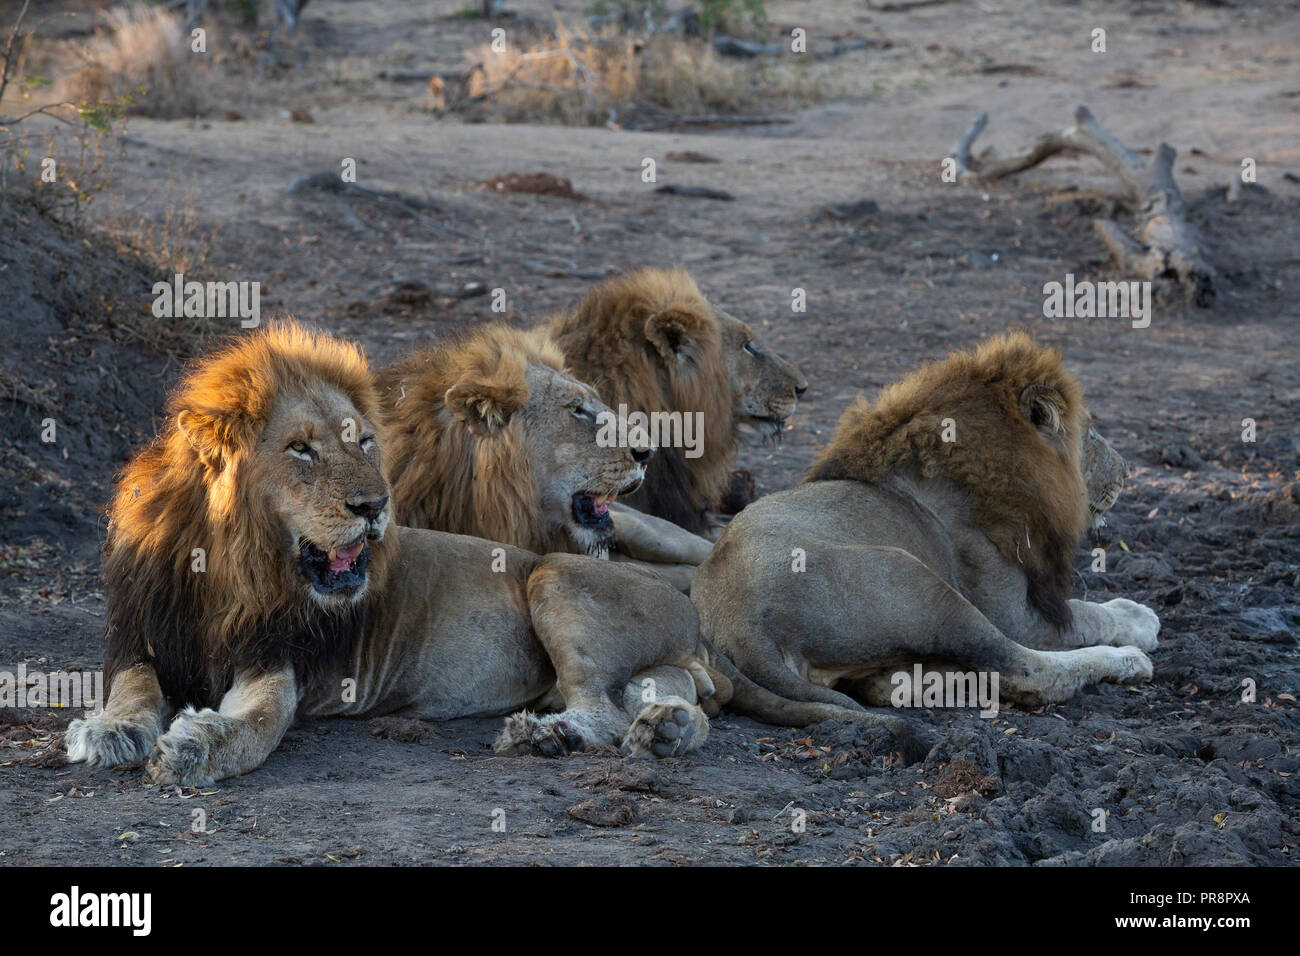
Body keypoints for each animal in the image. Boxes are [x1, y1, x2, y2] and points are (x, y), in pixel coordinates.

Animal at [691, 333, 1160, 757]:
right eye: (1091, 433)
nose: (1127, 471)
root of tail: (738, 626)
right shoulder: (1015, 614)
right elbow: (1086, 615)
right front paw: (1138, 618)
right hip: (924, 585)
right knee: (1025, 671)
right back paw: (1129, 660)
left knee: (891, 685)